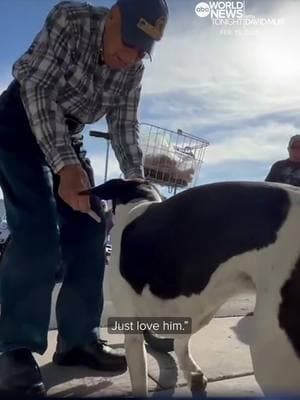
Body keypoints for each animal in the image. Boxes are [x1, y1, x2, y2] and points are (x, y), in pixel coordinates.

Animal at [81, 180, 300, 396]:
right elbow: (181, 340)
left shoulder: (133, 328)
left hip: (270, 349)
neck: (139, 202)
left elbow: (141, 378)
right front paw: (192, 372)